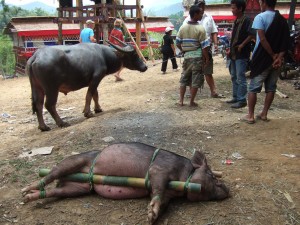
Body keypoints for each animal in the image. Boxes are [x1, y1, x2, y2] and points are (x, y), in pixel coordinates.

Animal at [21, 142, 230, 223]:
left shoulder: (170, 194)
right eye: (212, 175)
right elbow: (158, 188)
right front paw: (150, 214)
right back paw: (25, 190)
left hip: (78, 188)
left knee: (56, 191)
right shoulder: (159, 170)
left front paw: (152, 216)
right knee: (50, 175)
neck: (184, 176)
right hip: (72, 162)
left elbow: (162, 201)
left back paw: (28, 197)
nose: (227, 188)